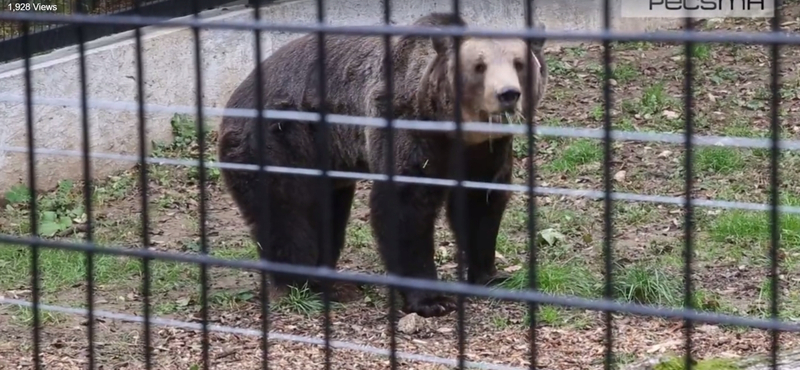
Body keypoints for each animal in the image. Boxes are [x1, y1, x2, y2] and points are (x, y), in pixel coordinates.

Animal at [216, 12, 548, 318]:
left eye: (519, 63)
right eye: (479, 66)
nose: (507, 94)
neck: (452, 130)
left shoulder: (485, 149)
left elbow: (480, 203)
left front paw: (490, 276)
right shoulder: (406, 127)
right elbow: (405, 207)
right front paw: (433, 300)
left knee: (326, 213)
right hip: (281, 140)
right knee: (289, 213)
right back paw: (312, 286)